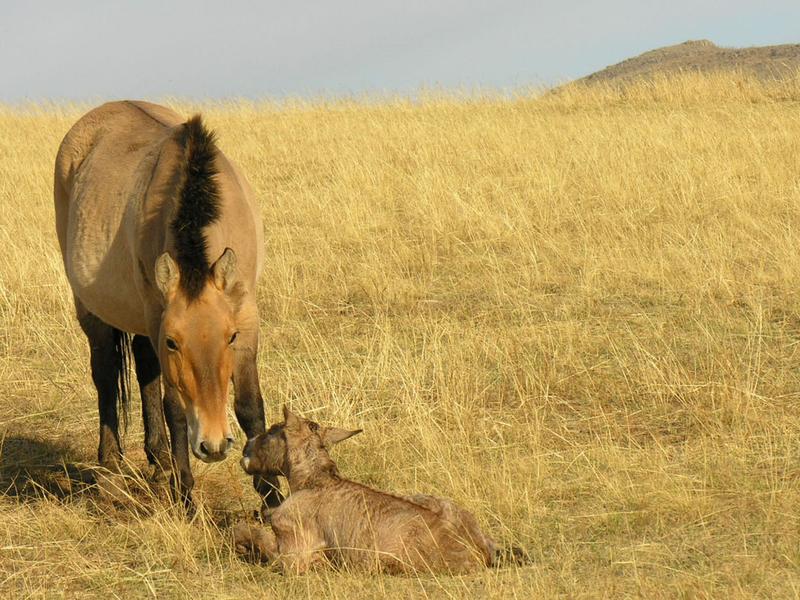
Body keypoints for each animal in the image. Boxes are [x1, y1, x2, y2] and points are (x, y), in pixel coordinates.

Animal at [54, 101, 280, 508]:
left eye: (230, 338)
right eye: (175, 343)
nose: (213, 445)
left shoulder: (246, 316)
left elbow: (250, 405)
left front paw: (272, 495)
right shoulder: (158, 320)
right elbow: (173, 406)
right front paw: (186, 493)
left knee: (145, 370)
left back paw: (159, 461)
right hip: (93, 312)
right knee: (106, 374)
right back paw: (111, 469)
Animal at [234, 408, 520, 572]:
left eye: (273, 430)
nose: (246, 449)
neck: (314, 479)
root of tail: (481, 549)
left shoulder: (292, 556)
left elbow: (248, 531)